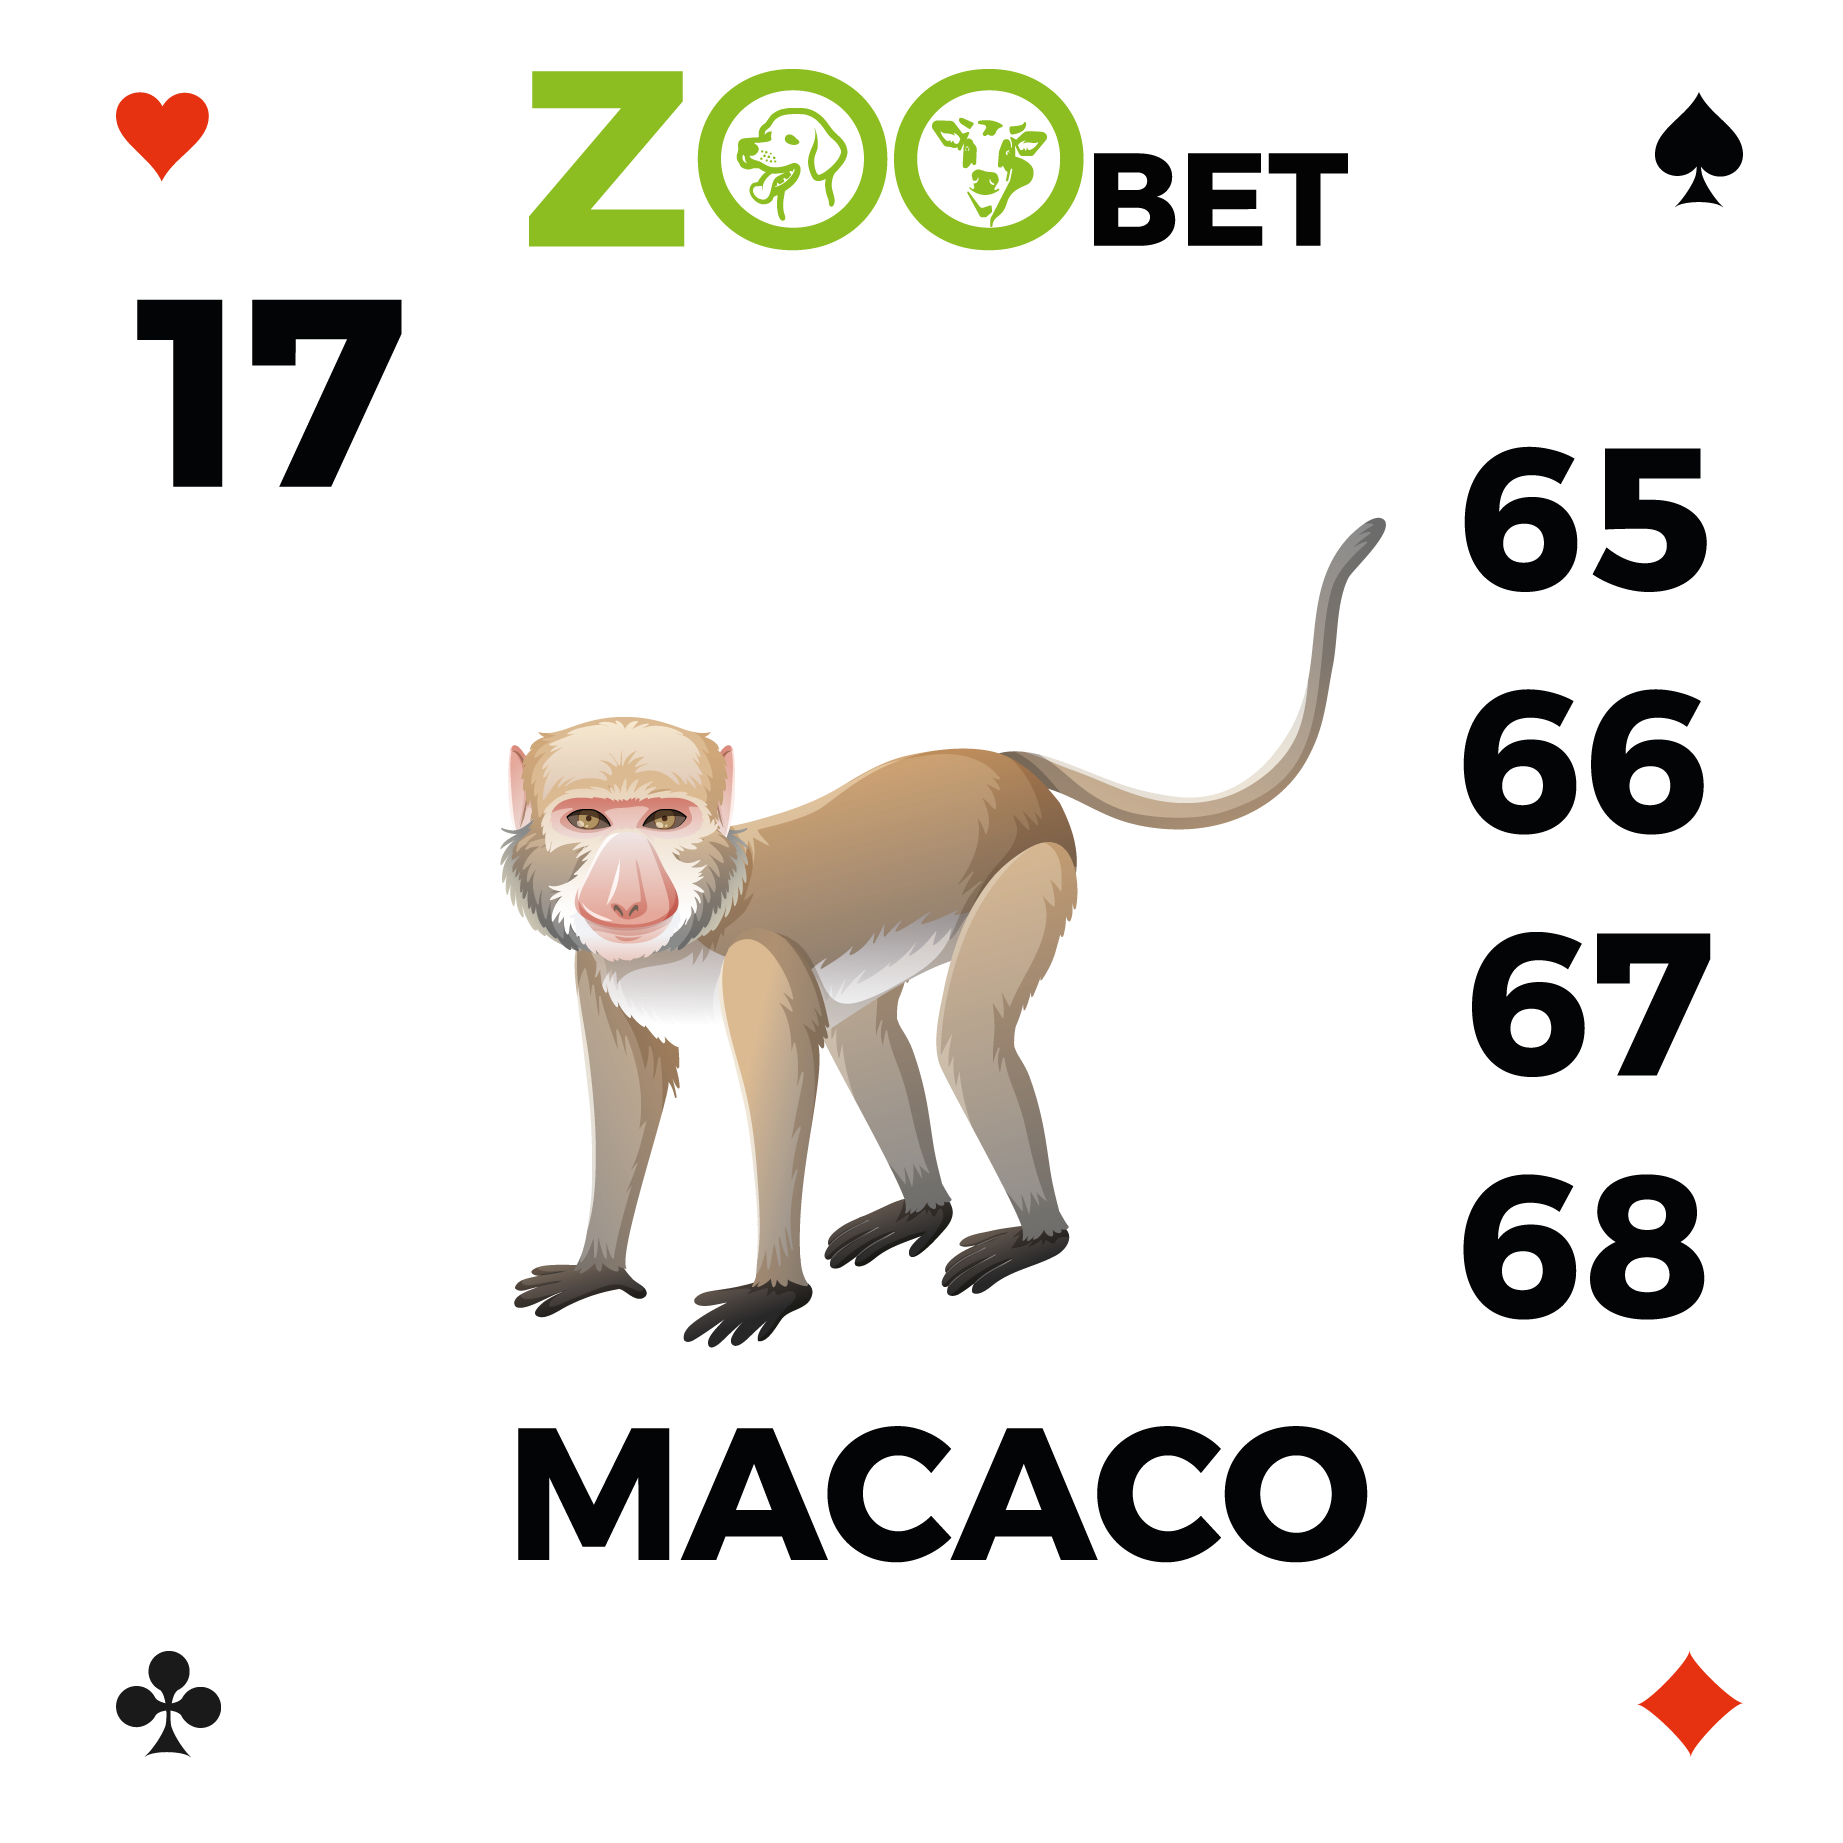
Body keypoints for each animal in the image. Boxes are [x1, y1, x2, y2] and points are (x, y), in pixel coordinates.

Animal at [504, 517, 1385, 1347]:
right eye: (588, 821)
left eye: (663, 822)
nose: (626, 898)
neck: (698, 918)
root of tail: (1010, 762)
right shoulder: (594, 969)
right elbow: (623, 1099)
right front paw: (598, 1271)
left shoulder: (755, 964)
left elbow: (782, 1087)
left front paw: (771, 1291)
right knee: (863, 1035)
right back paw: (920, 1210)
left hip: (1036, 870)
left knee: (966, 1035)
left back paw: (1034, 1238)